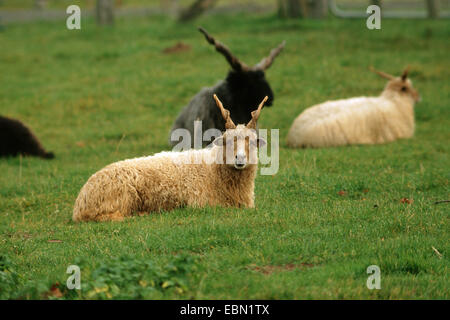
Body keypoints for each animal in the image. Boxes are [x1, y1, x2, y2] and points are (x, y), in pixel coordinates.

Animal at [73, 94, 268, 221]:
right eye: (226, 141)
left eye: (253, 142)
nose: (240, 159)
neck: (212, 171)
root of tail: (79, 205)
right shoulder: (201, 202)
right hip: (120, 197)